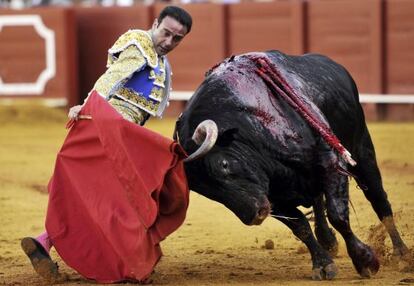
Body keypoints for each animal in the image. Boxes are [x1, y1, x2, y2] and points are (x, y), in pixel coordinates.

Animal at [173, 50, 410, 280]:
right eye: (207, 192)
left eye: (223, 165)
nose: (254, 216)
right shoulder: (272, 197)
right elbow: (301, 227)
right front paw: (323, 265)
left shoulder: (331, 163)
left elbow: (338, 216)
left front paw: (365, 261)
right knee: (318, 200)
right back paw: (328, 241)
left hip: (362, 150)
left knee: (379, 200)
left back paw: (402, 255)